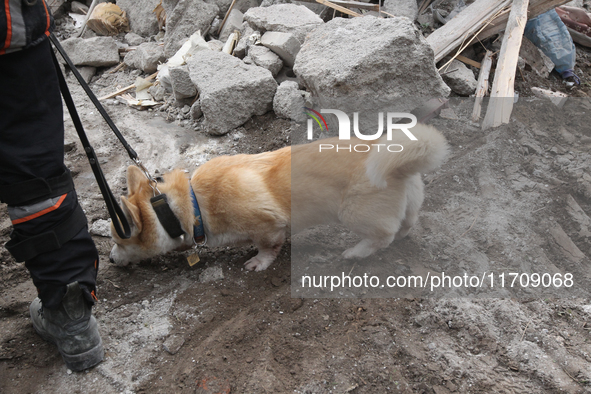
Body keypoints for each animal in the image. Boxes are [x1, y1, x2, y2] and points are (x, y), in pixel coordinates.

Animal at [110, 125, 448, 270]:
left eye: (120, 240)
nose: (111, 260)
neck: (190, 206)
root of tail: (401, 165)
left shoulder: (267, 226)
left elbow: (268, 247)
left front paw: (258, 263)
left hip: (354, 213)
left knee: (383, 235)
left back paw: (355, 252)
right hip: (408, 202)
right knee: (406, 224)